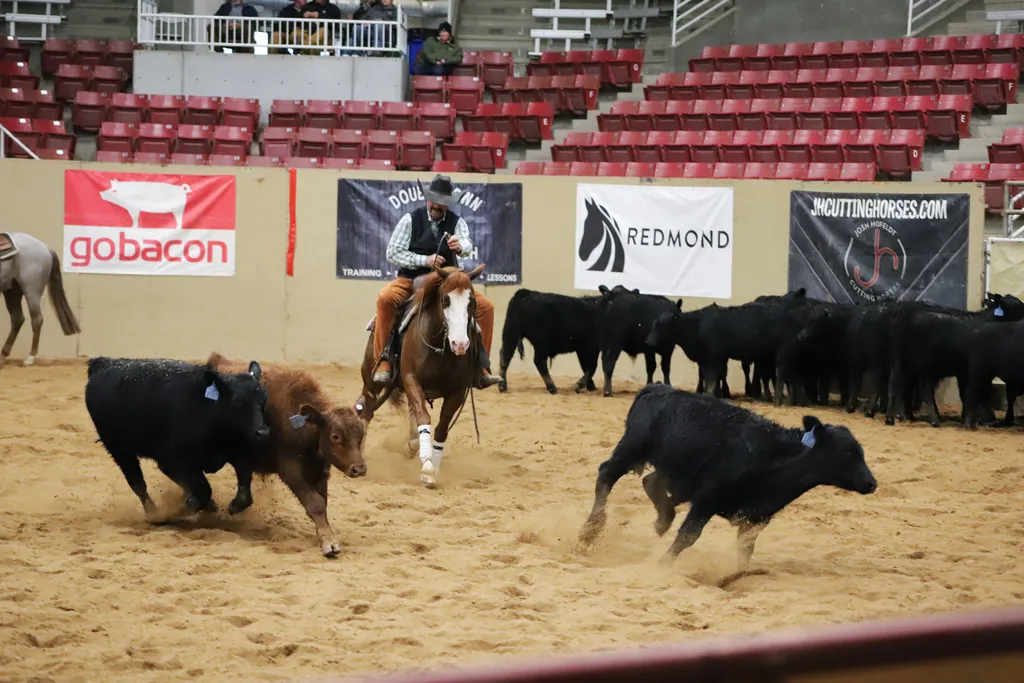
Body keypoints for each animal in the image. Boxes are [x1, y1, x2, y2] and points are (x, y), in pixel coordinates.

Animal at [0, 232, 80, 367]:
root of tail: (45, 247)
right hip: (12, 291)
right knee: (17, 319)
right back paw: (3, 356)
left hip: (32, 291)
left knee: (36, 320)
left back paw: (30, 358)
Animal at [356, 263, 486, 489]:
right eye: (445, 300)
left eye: (472, 302)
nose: (460, 344)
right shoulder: (411, 380)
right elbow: (424, 418)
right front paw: (426, 467)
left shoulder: (458, 391)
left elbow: (441, 428)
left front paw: (431, 465)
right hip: (371, 380)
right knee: (366, 410)